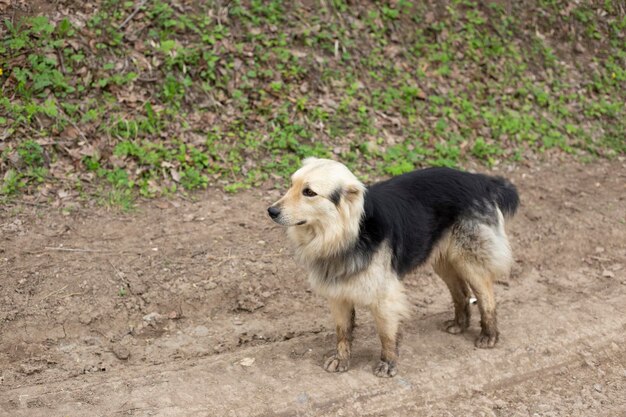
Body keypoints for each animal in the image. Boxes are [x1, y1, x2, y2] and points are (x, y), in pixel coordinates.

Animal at [266, 157, 516, 376]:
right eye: (292, 184)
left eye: (309, 192)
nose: (271, 211)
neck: (347, 234)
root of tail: (479, 180)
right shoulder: (338, 295)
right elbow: (343, 332)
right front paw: (342, 359)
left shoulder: (384, 296)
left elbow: (386, 334)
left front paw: (388, 363)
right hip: (443, 259)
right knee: (461, 293)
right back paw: (459, 324)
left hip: (469, 260)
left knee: (486, 296)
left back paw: (489, 335)